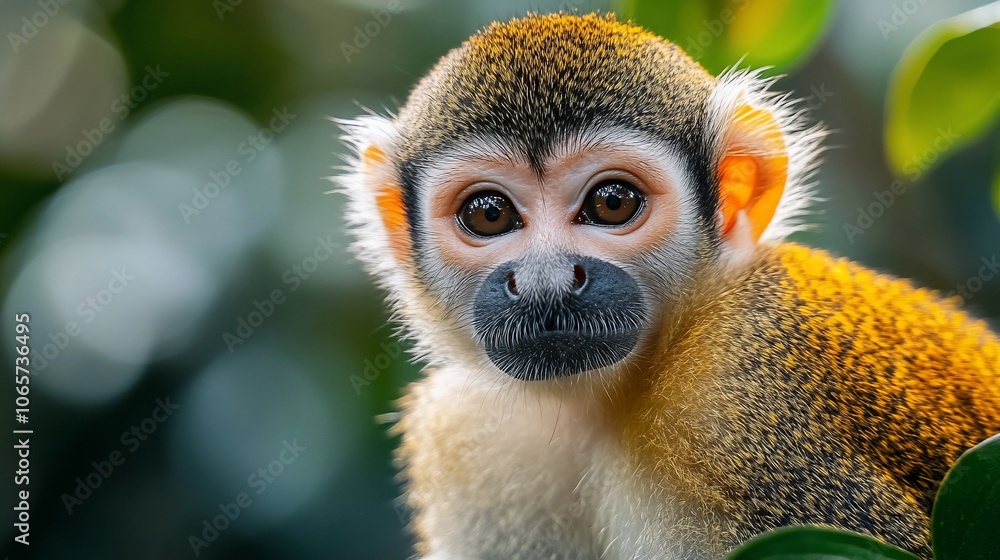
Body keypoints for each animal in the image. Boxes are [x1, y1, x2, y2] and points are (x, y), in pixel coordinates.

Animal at [337, 12, 1000, 560]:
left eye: (612, 202)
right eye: (489, 214)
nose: (547, 280)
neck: (610, 404)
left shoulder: (738, 407)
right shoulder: (467, 440)